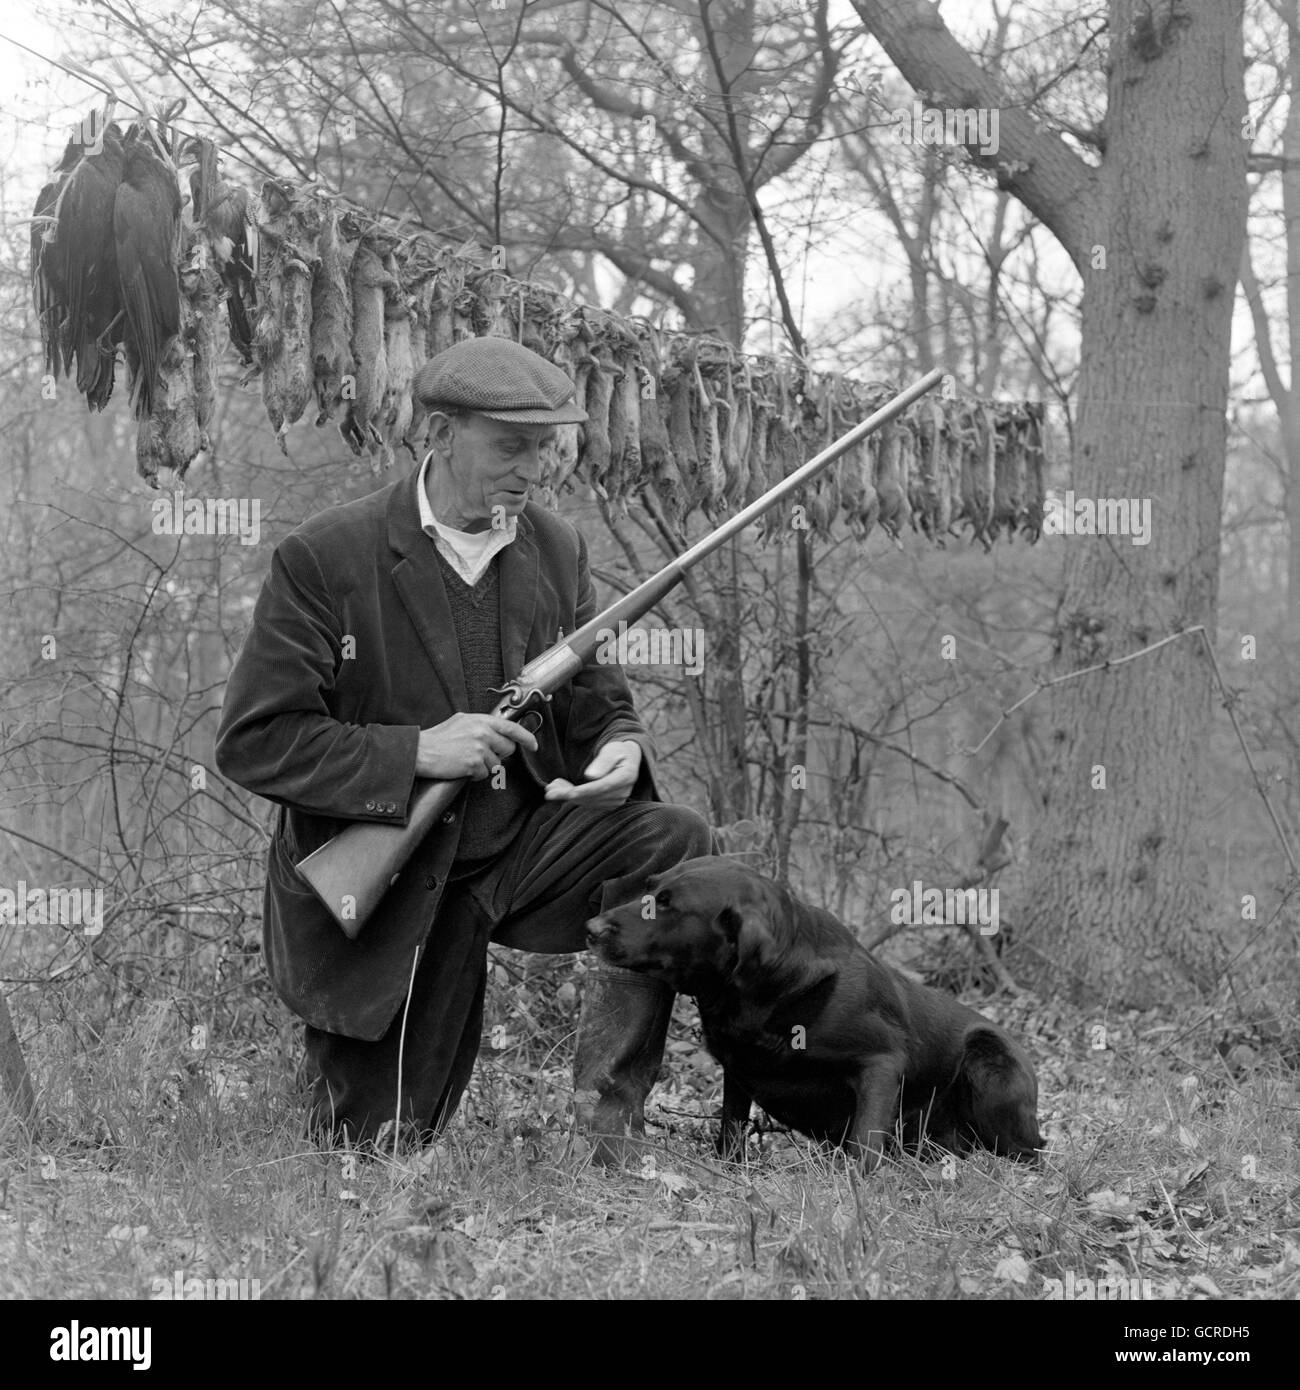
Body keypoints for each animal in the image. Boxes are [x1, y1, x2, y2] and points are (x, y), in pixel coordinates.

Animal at [589, 856, 1045, 1162]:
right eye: (649, 888)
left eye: (666, 904)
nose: (591, 928)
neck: (771, 995)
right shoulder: (736, 1070)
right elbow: (731, 1127)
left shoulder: (881, 1063)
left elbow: (865, 1142)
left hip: (990, 1059)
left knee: (1027, 1154)